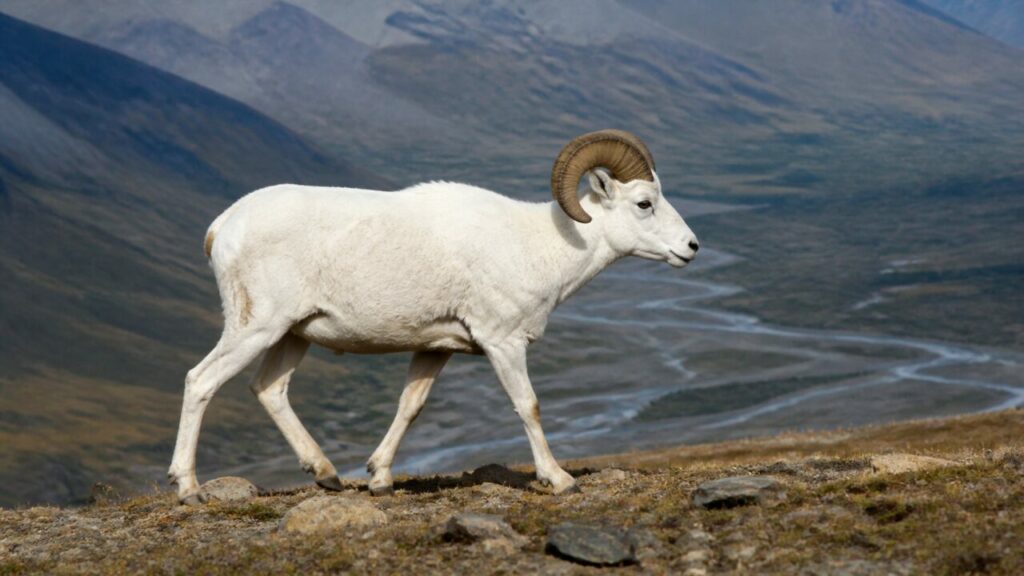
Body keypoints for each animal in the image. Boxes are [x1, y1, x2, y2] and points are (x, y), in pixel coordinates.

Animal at [168, 130, 700, 504]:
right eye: (644, 203)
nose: (691, 247)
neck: (539, 247)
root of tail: (222, 227)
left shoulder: (434, 349)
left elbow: (410, 406)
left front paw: (379, 479)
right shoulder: (503, 343)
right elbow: (527, 405)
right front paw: (560, 479)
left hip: (292, 335)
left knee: (270, 389)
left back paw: (327, 475)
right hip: (256, 327)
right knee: (200, 380)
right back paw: (188, 488)